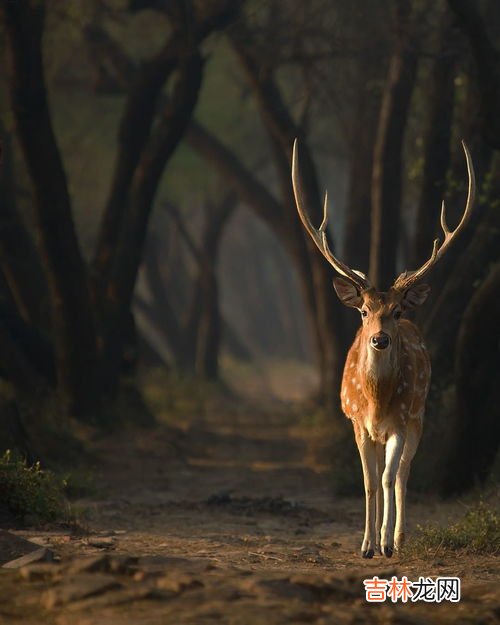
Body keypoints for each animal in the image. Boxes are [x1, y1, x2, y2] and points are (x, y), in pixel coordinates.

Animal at [292, 140, 476, 556]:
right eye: (363, 311)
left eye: (395, 310)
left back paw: (398, 537)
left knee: (404, 473)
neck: (375, 401)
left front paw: (387, 543)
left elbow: (391, 479)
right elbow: (369, 483)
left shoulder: (400, 422)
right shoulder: (357, 422)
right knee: (383, 476)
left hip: (419, 416)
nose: (379, 338)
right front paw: (365, 545)